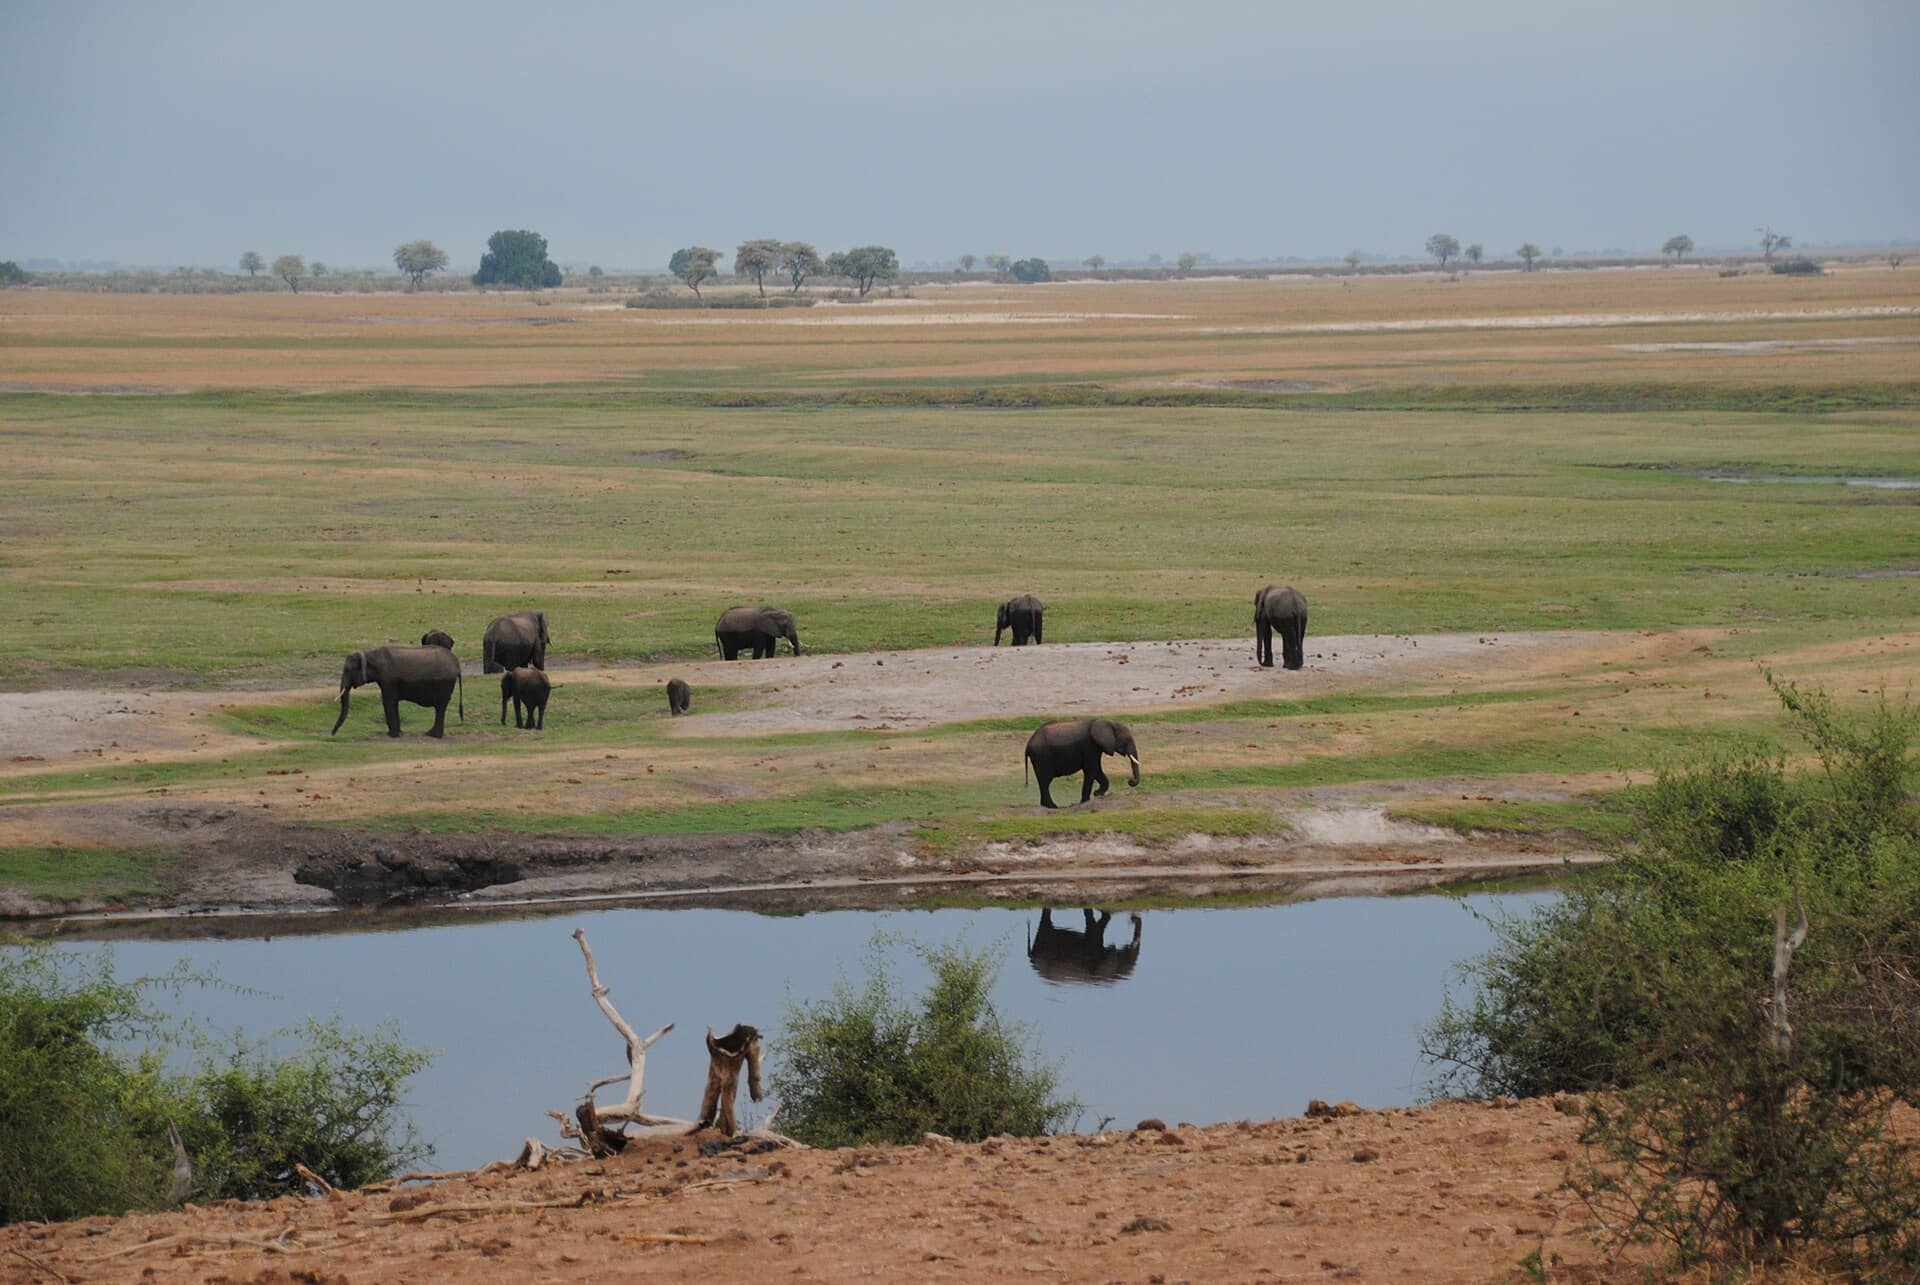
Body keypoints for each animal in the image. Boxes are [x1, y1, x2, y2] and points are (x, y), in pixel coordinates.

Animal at [331, 645, 464, 738]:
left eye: (348, 670)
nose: (332, 734)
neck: (369, 654)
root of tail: (457, 665)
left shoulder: (388, 679)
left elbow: (388, 701)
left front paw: (393, 735)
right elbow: (391, 702)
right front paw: (399, 733)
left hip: (445, 683)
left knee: (440, 707)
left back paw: (432, 735)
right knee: (440, 708)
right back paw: (431, 734)